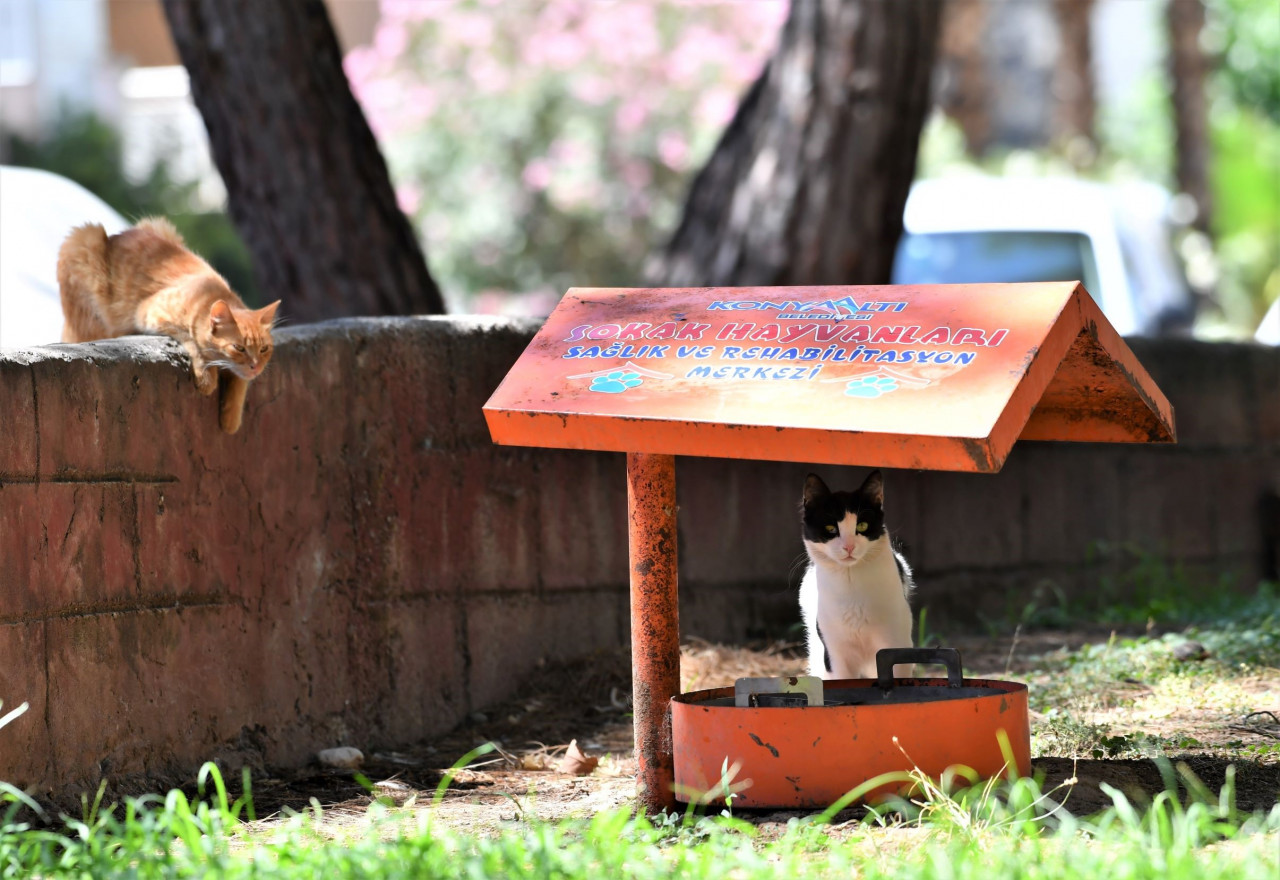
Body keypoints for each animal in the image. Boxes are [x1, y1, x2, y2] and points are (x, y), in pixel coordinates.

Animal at [56, 218, 280, 434]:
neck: (209, 295)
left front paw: (231, 419)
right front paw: (207, 379)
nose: (255, 366)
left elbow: (241, 382)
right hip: (83, 242)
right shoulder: (149, 313)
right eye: (239, 348)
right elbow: (194, 344)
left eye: (264, 349)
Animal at [793, 470, 916, 675]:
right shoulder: (835, 655)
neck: (851, 584)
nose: (849, 546)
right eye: (830, 528)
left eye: (862, 526)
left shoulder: (896, 644)